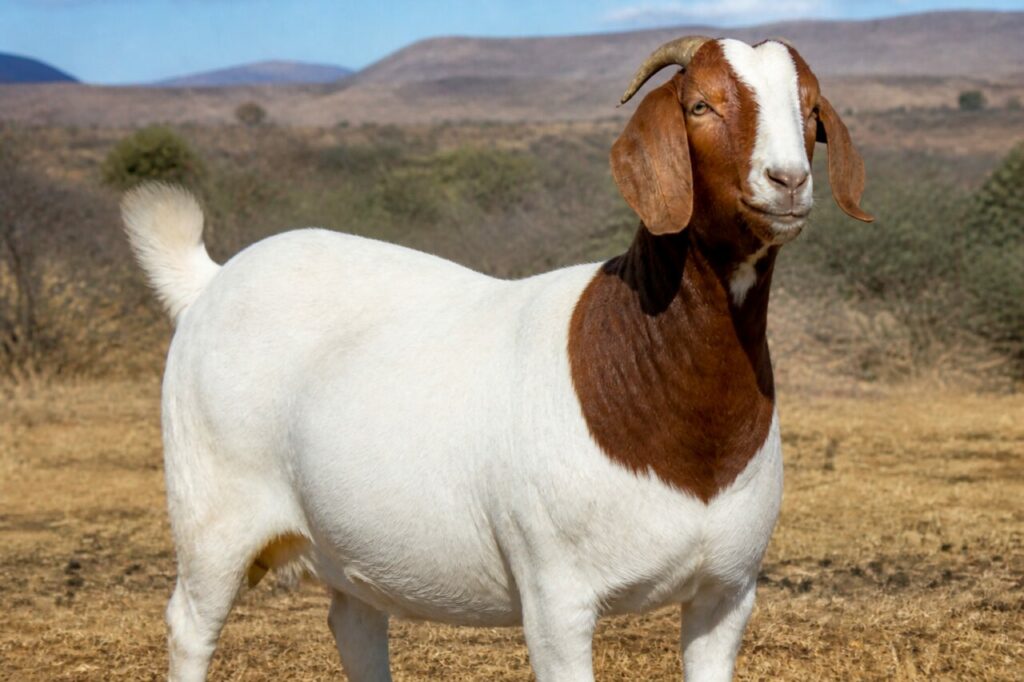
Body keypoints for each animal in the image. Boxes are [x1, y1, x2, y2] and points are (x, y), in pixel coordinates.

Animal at [123, 36, 871, 682]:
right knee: (191, 624)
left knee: (356, 623)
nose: (786, 181)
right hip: (212, 512)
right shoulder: (557, 598)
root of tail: (210, 281)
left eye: (810, 110)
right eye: (700, 106)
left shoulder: (727, 592)